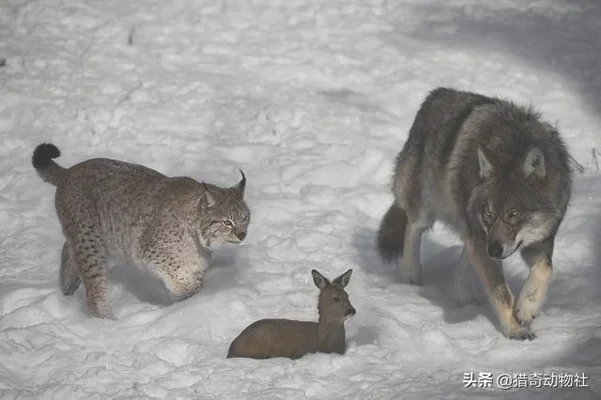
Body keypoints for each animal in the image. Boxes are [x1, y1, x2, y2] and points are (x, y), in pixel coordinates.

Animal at [33, 144, 248, 318]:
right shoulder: (149, 249)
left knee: (67, 248)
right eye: (227, 222)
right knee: (94, 291)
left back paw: (67, 288)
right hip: (90, 241)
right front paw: (182, 295)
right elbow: (182, 278)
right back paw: (106, 322)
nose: (242, 235)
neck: (197, 236)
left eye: (245, 218)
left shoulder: (195, 262)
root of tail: (70, 170)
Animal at [376, 86, 572, 340]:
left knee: (464, 261)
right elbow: (502, 293)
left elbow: (545, 270)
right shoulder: (483, 238)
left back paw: (467, 300)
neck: (512, 144)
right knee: (412, 228)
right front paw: (514, 329)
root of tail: (437, 93)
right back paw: (411, 277)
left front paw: (526, 309)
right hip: (427, 209)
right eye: (488, 213)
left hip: (472, 232)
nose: (494, 250)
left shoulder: (539, 242)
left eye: (514, 213)